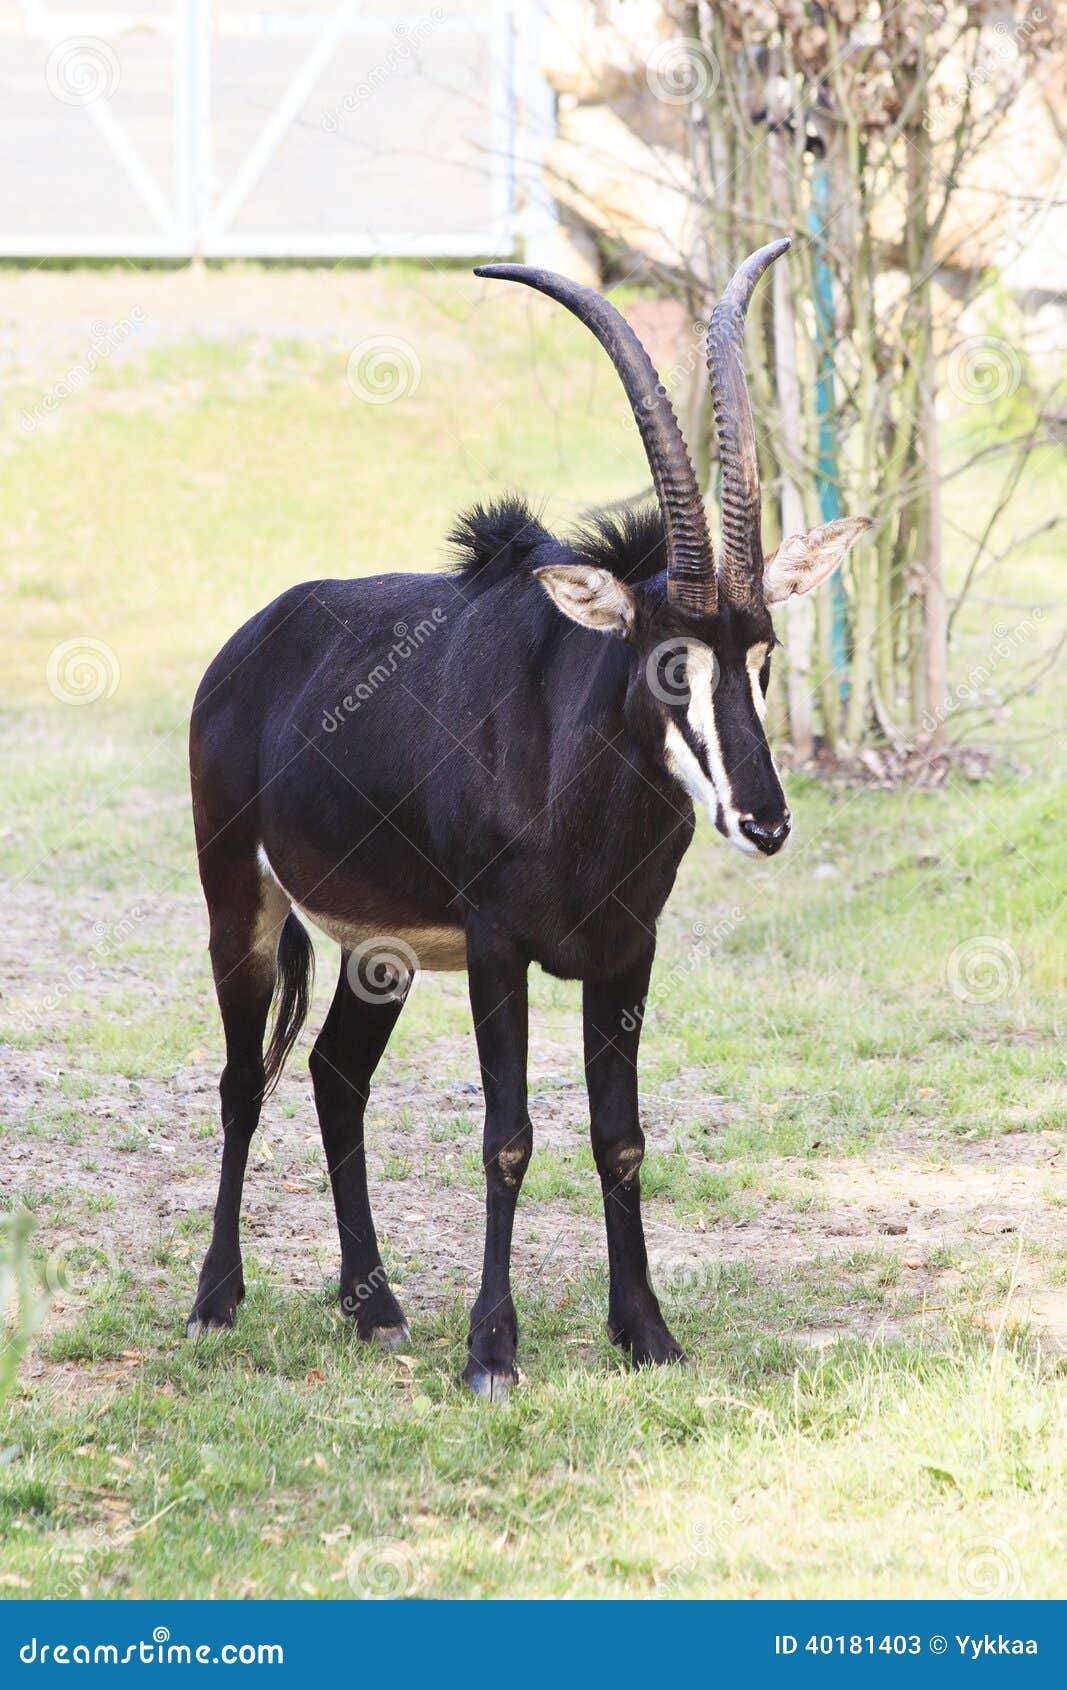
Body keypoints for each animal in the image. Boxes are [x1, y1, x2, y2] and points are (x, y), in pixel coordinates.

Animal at [187, 240, 870, 1397]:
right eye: (668, 661)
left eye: (764, 653)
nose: (765, 821)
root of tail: (250, 641)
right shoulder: (498, 945)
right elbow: (506, 1134)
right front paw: (490, 1351)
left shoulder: (626, 951)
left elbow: (620, 1134)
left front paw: (644, 1330)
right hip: (239, 898)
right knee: (246, 1077)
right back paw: (214, 1299)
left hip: (380, 949)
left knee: (332, 1075)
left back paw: (374, 1307)